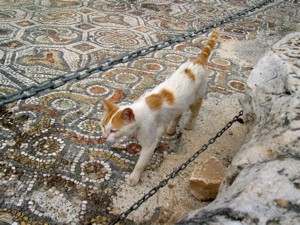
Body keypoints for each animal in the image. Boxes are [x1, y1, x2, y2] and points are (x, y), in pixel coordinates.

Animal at [100, 28, 218, 186]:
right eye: (103, 126)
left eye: (113, 130)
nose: (103, 137)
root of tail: (197, 62)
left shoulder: (149, 139)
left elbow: (141, 163)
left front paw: (134, 177)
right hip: (181, 103)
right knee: (178, 114)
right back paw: (172, 129)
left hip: (196, 98)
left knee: (194, 112)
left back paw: (189, 125)